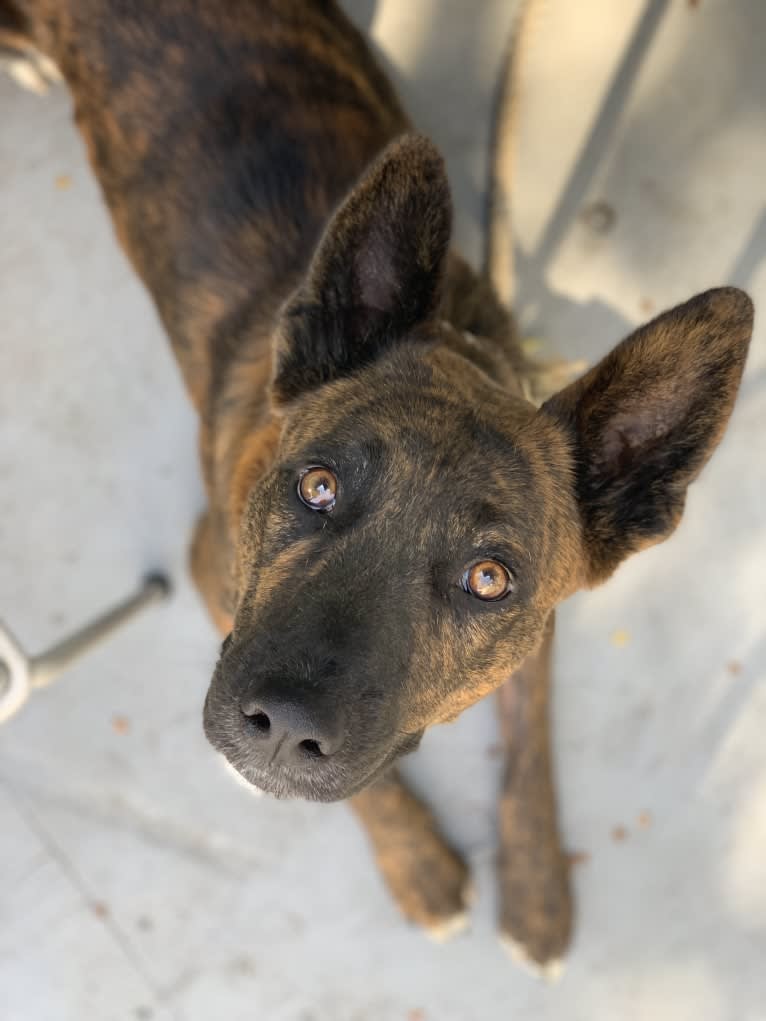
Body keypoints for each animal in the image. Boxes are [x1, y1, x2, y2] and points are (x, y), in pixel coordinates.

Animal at [1, 0, 755, 971]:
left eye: (488, 579)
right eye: (318, 485)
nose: (285, 725)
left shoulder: (538, 630)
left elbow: (534, 742)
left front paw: (539, 888)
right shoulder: (211, 566)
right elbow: (371, 789)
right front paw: (418, 862)